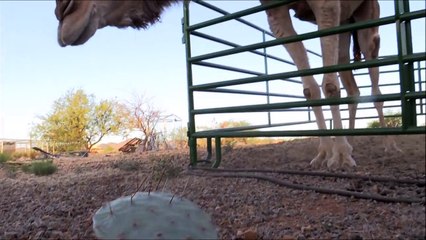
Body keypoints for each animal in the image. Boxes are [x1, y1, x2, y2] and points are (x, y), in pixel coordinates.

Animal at [55, 0, 394, 169]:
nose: (65, 16)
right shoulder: (275, 7)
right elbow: (311, 87)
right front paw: (325, 153)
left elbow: (328, 83)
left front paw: (339, 157)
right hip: (348, 23)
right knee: (352, 84)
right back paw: (352, 140)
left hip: (368, 19)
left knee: (373, 81)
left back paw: (385, 141)